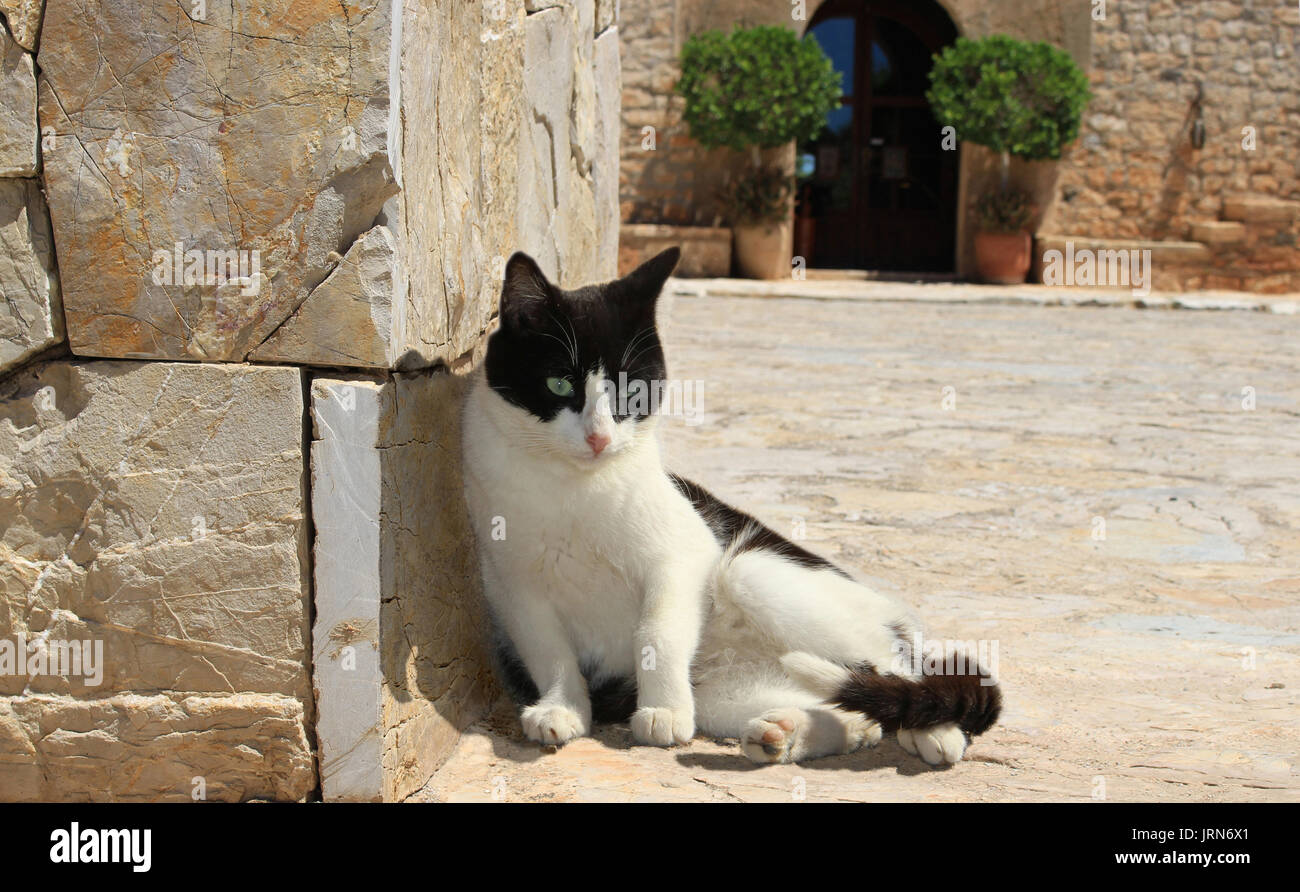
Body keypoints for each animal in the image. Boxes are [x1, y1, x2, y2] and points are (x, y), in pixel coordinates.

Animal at [462, 249, 998, 769]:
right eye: (558, 384)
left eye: (632, 390)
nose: (599, 437)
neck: (573, 486)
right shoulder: (510, 584)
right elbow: (548, 648)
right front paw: (561, 708)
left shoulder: (686, 552)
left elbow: (656, 630)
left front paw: (662, 711)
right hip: (726, 692)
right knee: (852, 709)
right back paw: (786, 734)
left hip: (753, 572)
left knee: (895, 670)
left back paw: (936, 731)